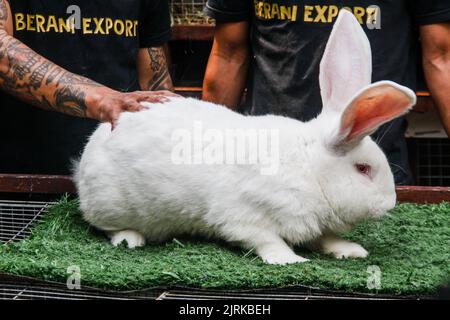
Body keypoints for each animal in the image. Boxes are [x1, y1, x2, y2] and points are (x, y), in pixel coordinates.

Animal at [74, 10, 414, 264]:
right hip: (111, 204)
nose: (391, 203)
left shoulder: (314, 225)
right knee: (107, 227)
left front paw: (351, 250)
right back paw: (130, 238)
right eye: (363, 169)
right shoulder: (245, 216)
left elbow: (326, 238)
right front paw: (289, 259)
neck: (310, 169)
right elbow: (265, 239)